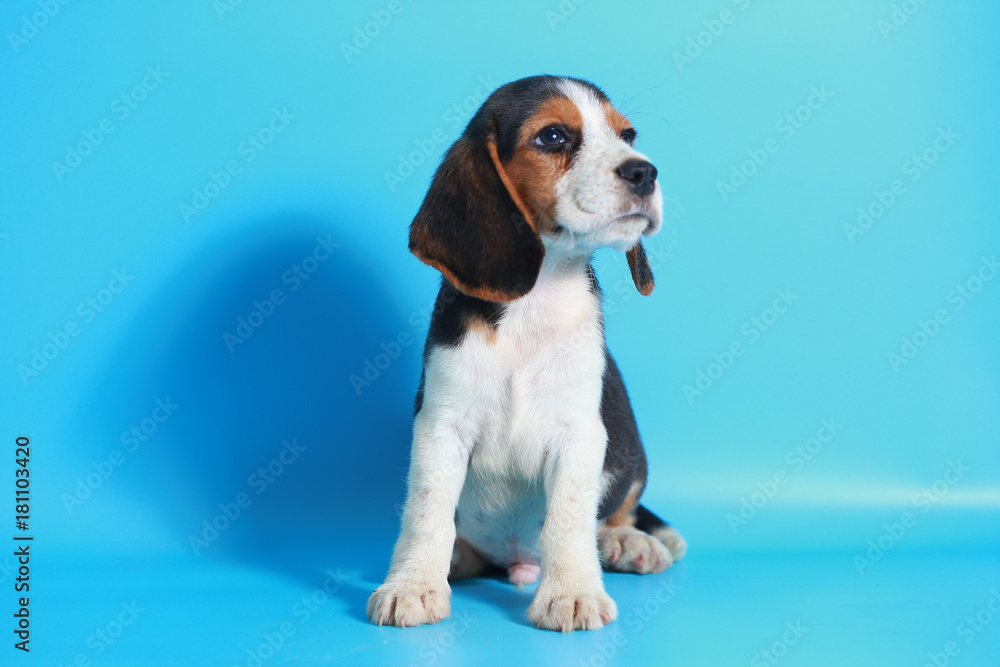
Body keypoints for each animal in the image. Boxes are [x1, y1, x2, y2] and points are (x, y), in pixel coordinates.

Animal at [368, 75, 688, 636]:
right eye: (553, 137)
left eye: (627, 135)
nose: (644, 171)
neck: (536, 299)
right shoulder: (440, 426)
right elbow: (427, 509)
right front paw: (412, 584)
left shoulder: (581, 432)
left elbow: (568, 516)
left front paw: (572, 592)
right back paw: (455, 560)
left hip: (633, 453)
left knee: (617, 511)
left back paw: (627, 542)